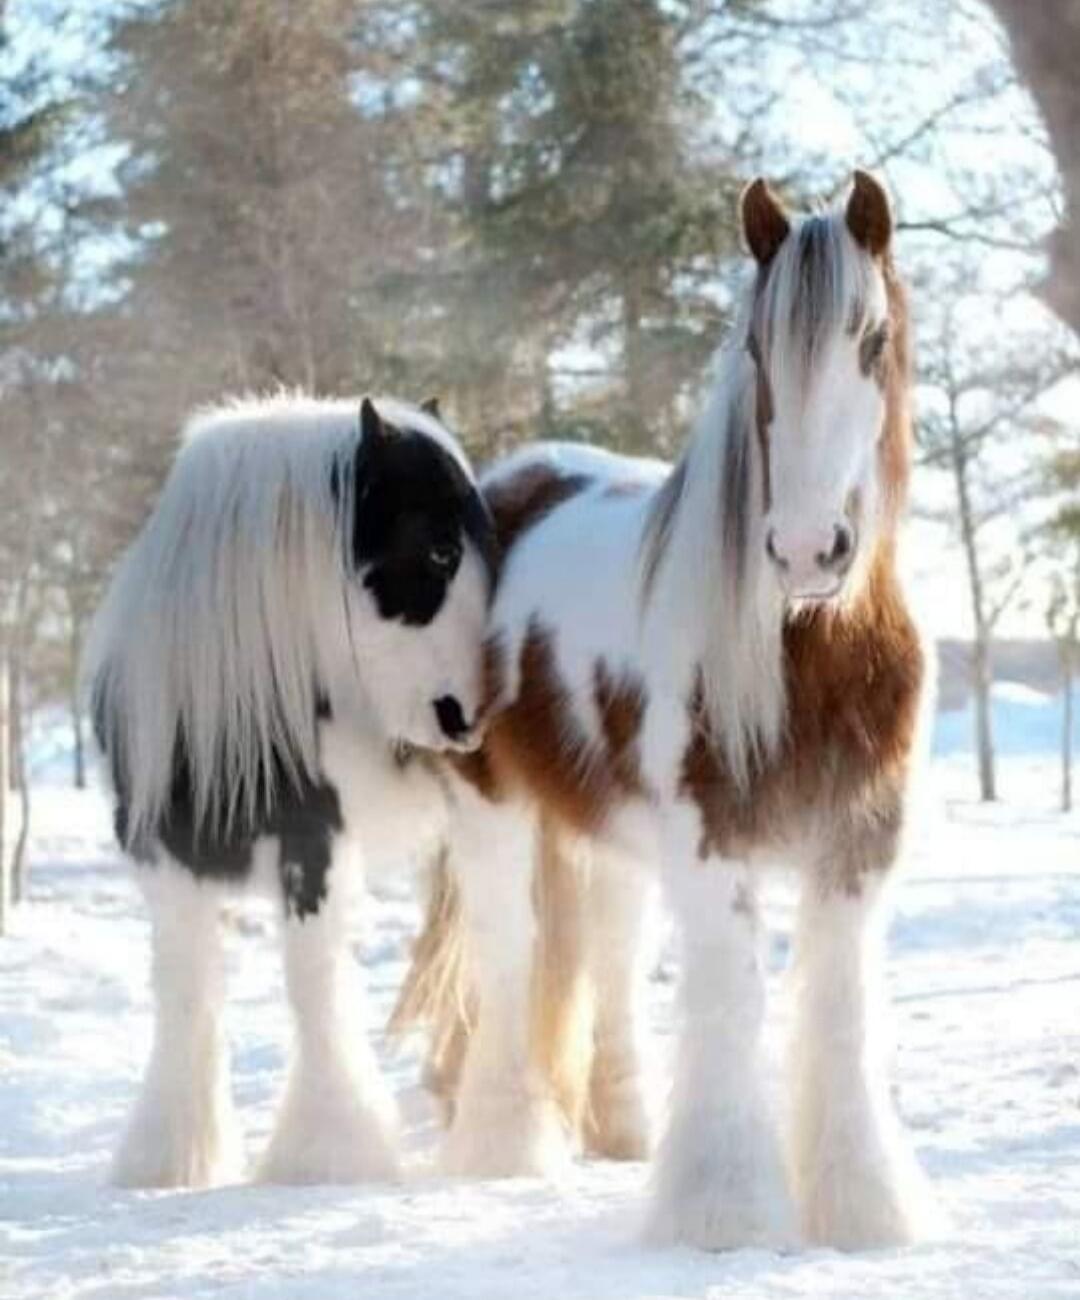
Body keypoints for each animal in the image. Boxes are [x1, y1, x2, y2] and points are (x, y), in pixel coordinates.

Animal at [85, 393, 498, 1188]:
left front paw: (330, 1152)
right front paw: (172, 1157)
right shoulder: (166, 861)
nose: (478, 709)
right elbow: (185, 990)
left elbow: (315, 979)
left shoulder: (315, 848)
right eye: (437, 551)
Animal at [396, 172, 934, 1251]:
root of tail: (508, 481)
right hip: (492, 815)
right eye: (759, 349)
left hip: (611, 842)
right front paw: (724, 1216)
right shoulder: (712, 846)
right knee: (509, 958)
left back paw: (622, 1133)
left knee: (603, 952)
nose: (806, 550)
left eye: (871, 339)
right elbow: (731, 1006)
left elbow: (840, 1014)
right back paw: (507, 1145)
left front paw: (861, 1210)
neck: (811, 655)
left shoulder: (858, 845)